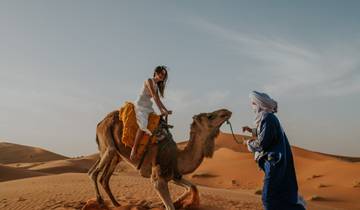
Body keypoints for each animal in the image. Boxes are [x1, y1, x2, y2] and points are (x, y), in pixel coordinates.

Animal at [88, 107, 232, 209]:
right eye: (210, 116)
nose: (227, 112)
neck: (177, 155)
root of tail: (100, 122)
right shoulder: (158, 177)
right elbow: (170, 205)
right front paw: (167, 203)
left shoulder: (174, 175)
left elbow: (192, 187)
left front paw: (172, 202)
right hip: (107, 139)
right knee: (95, 172)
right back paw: (100, 200)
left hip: (115, 156)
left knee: (103, 177)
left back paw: (116, 204)